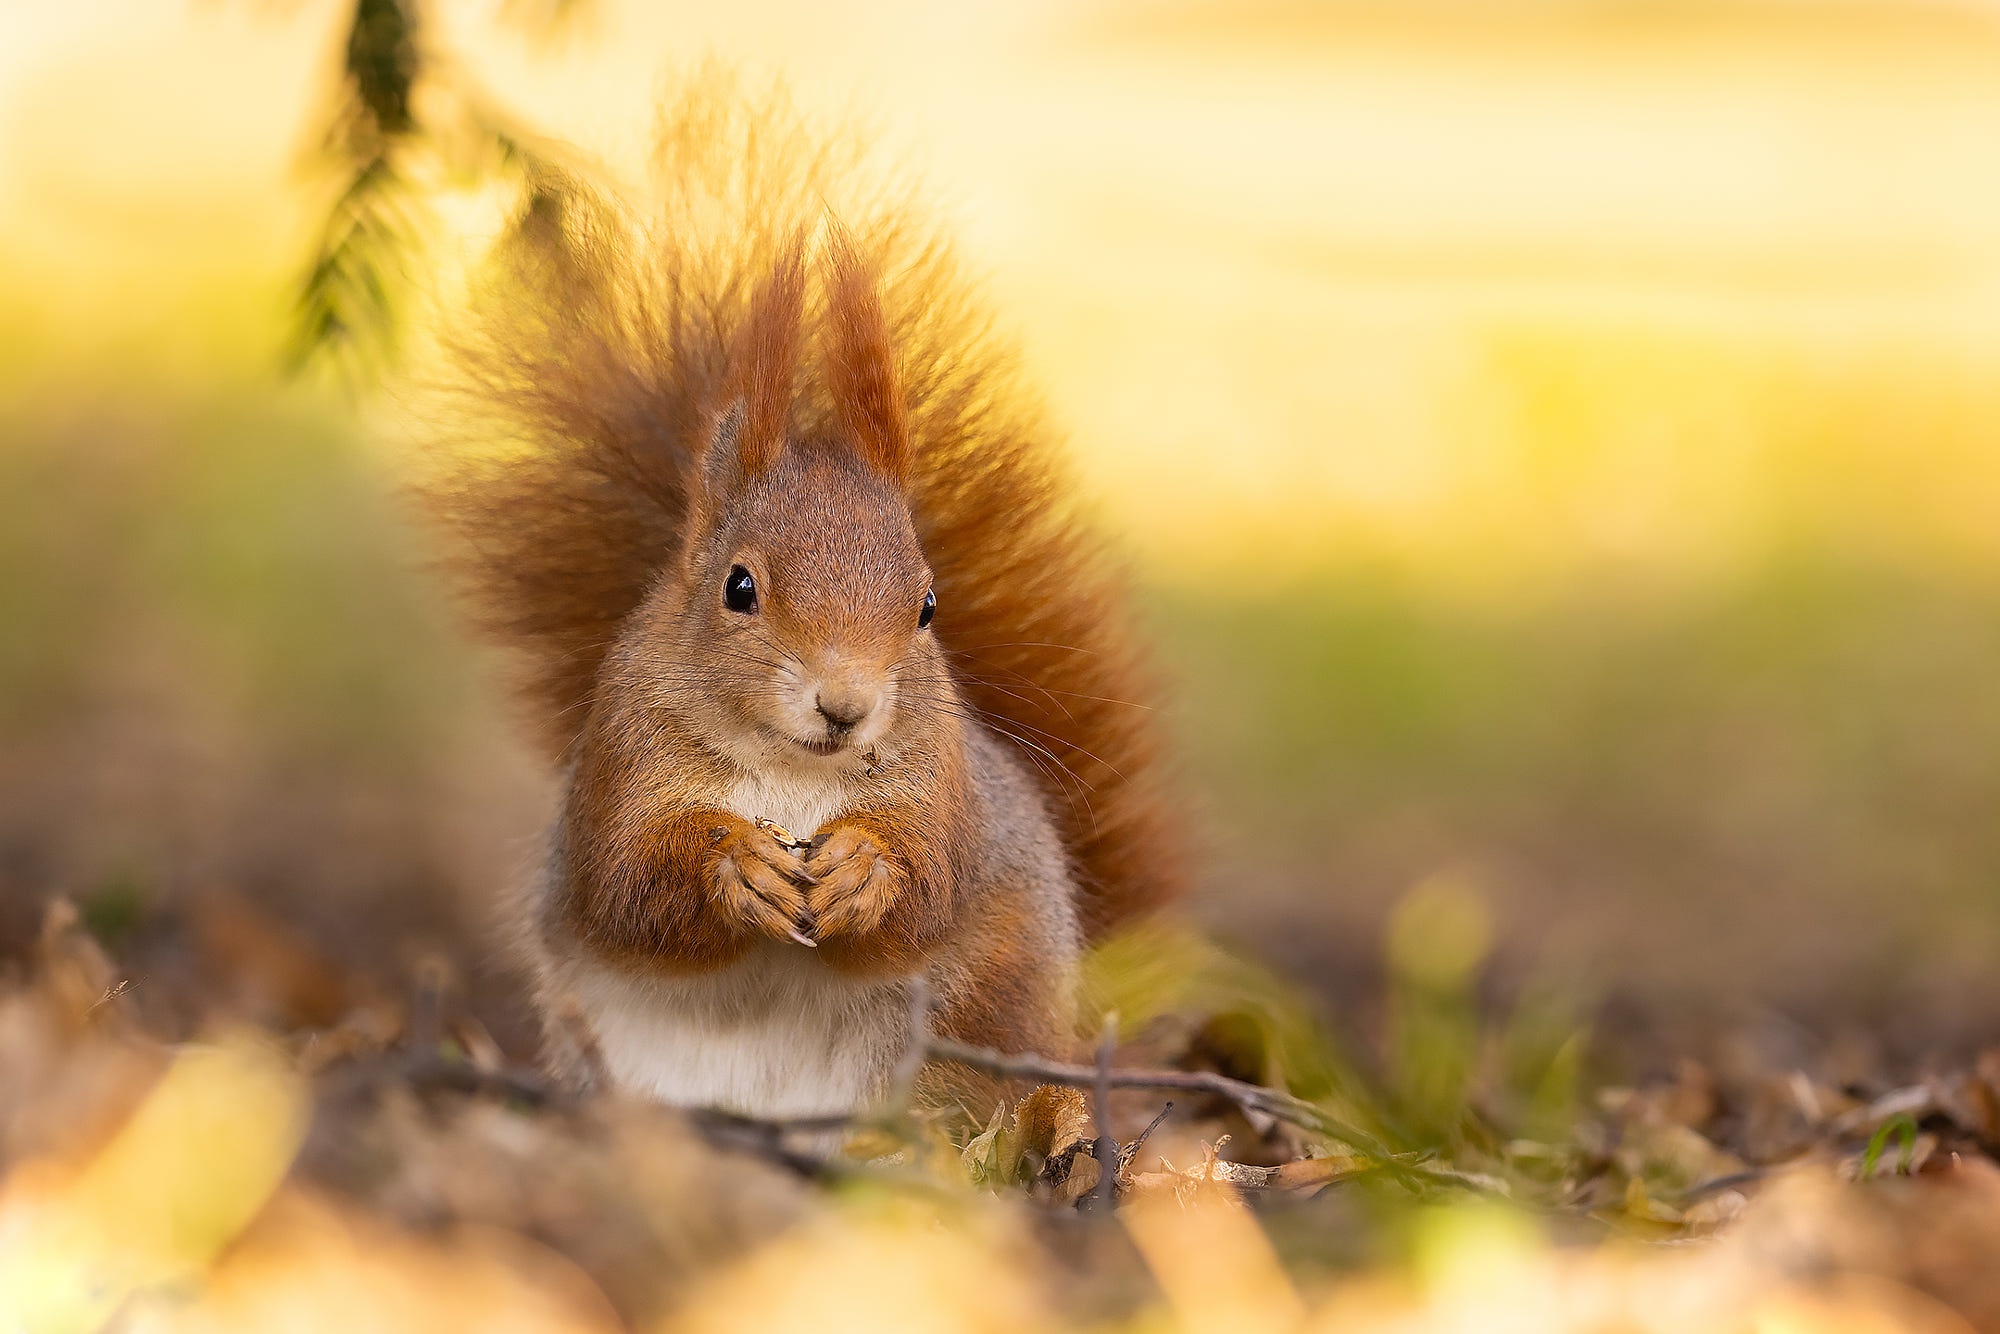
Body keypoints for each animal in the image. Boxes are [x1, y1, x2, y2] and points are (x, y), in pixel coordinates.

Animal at [418, 86, 1168, 1120]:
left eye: (928, 606)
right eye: (740, 588)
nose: (845, 706)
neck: (792, 773)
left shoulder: (942, 790)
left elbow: (929, 884)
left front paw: (864, 871)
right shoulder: (620, 763)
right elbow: (628, 886)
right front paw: (733, 865)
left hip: (983, 1013)